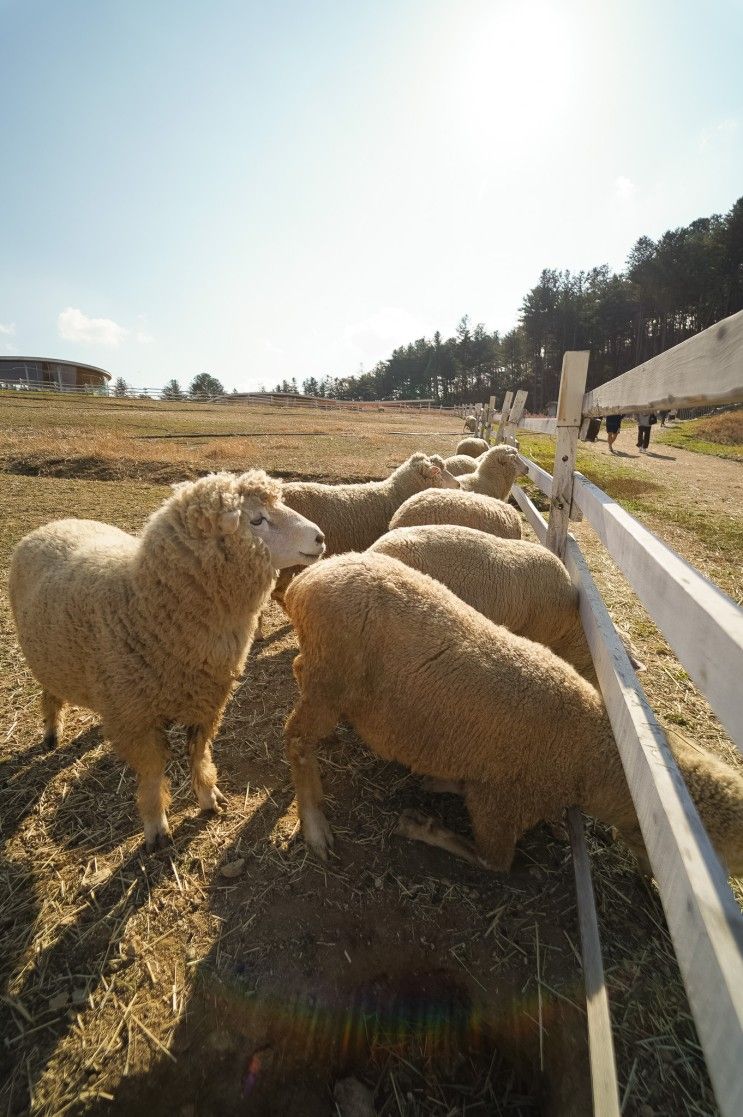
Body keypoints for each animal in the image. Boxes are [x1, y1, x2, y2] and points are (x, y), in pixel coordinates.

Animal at [7, 469, 324, 844]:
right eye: (257, 520)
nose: (320, 537)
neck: (146, 604)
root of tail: (56, 523)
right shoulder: (136, 718)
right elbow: (152, 772)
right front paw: (156, 824)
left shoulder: (206, 702)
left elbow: (198, 755)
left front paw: (208, 797)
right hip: (48, 657)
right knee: (49, 693)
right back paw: (51, 732)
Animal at [282, 554, 741, 875]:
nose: (652, 879)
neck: (591, 757)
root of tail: (305, 580)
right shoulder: (503, 804)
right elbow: (495, 862)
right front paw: (418, 825)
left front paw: (438, 783)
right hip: (330, 677)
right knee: (296, 738)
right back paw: (315, 825)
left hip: (323, 672)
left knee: (299, 672)